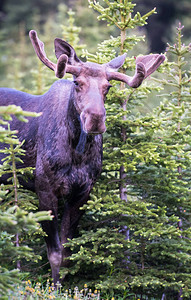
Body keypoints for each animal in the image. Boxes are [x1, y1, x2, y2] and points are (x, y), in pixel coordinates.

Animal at [0, 30, 164, 284]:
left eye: (108, 86)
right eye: (77, 82)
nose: (95, 118)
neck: (76, 153)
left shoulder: (83, 192)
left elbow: (67, 252)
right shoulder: (45, 188)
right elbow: (54, 253)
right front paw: (55, 286)